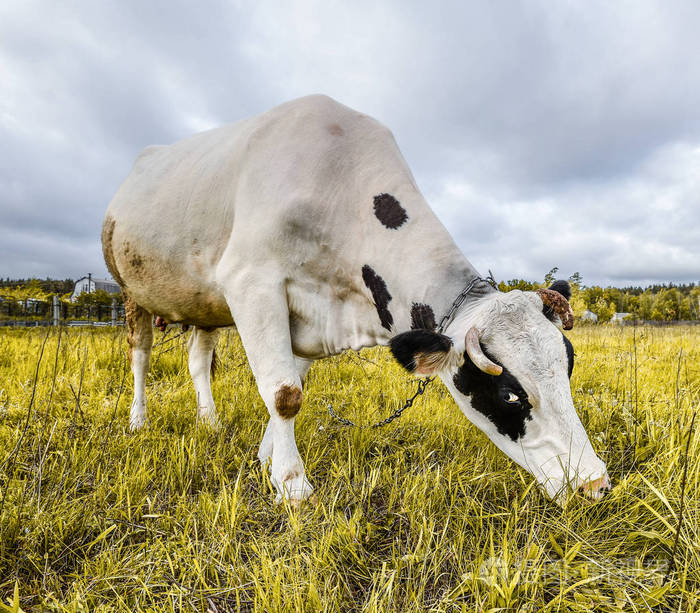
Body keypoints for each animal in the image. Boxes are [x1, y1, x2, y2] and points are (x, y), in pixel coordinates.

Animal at [101, 94, 608, 502]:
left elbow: (293, 386)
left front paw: (268, 459)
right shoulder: (252, 282)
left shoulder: (307, 315)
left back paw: (209, 421)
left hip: (203, 307)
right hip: (131, 292)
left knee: (198, 360)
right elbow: (283, 393)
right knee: (141, 357)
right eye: (510, 394)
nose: (595, 484)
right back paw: (138, 420)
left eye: (567, 371)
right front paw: (292, 485)